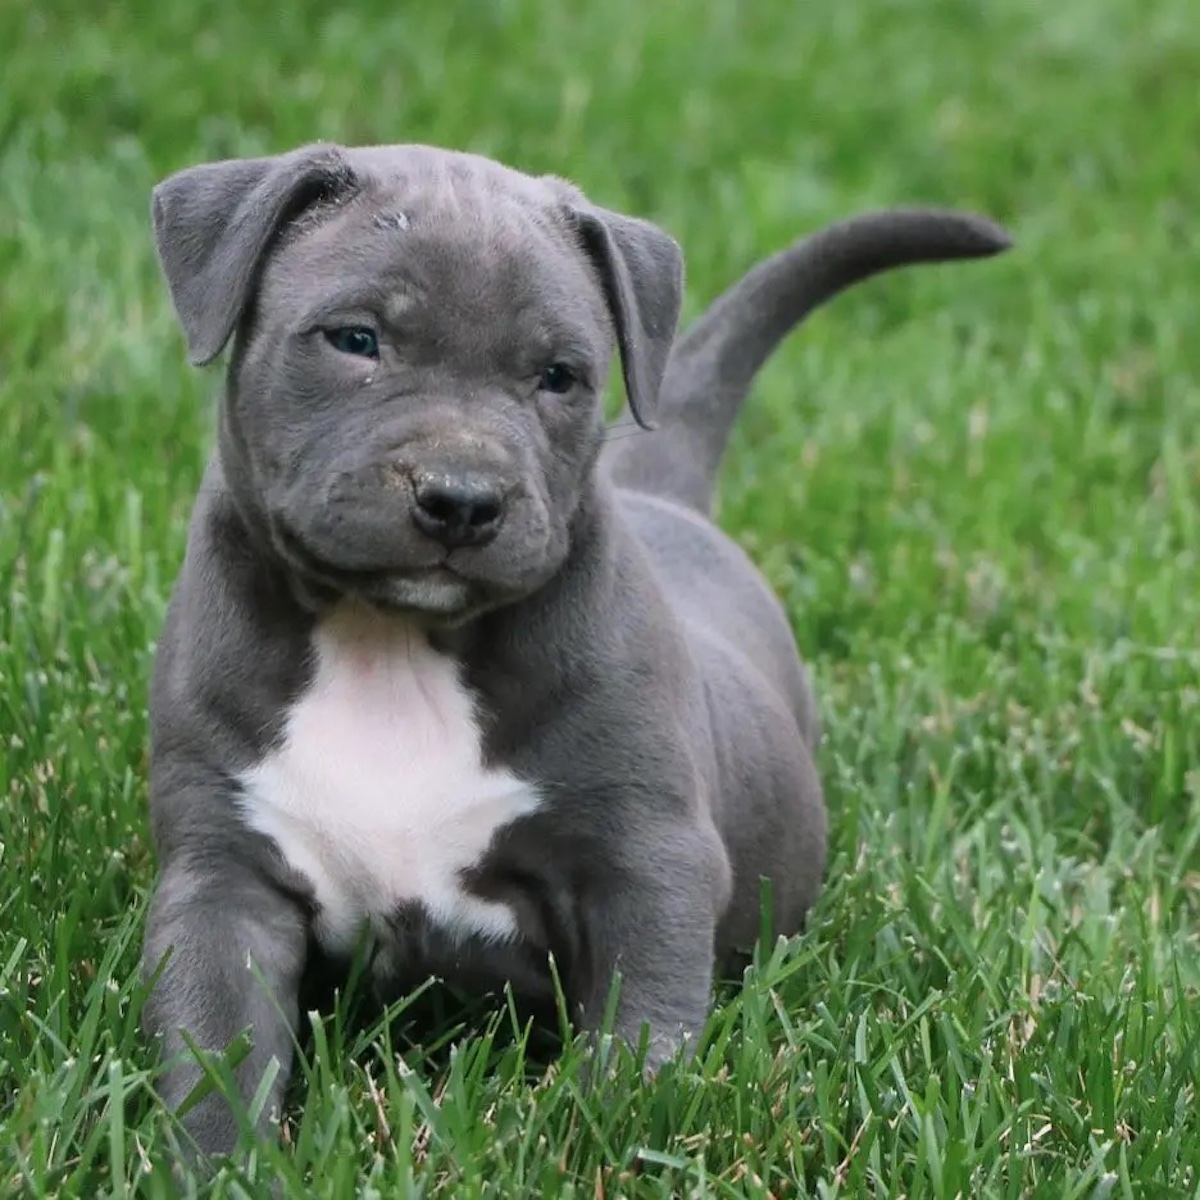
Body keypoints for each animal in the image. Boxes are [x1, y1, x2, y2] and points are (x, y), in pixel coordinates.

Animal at [140, 140, 1008, 1161]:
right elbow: (217, 1045)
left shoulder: (646, 860)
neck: (390, 642)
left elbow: (638, 1041)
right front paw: (212, 1162)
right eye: (355, 339)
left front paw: (605, 1142)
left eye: (558, 375)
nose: (461, 498)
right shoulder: (224, 874)